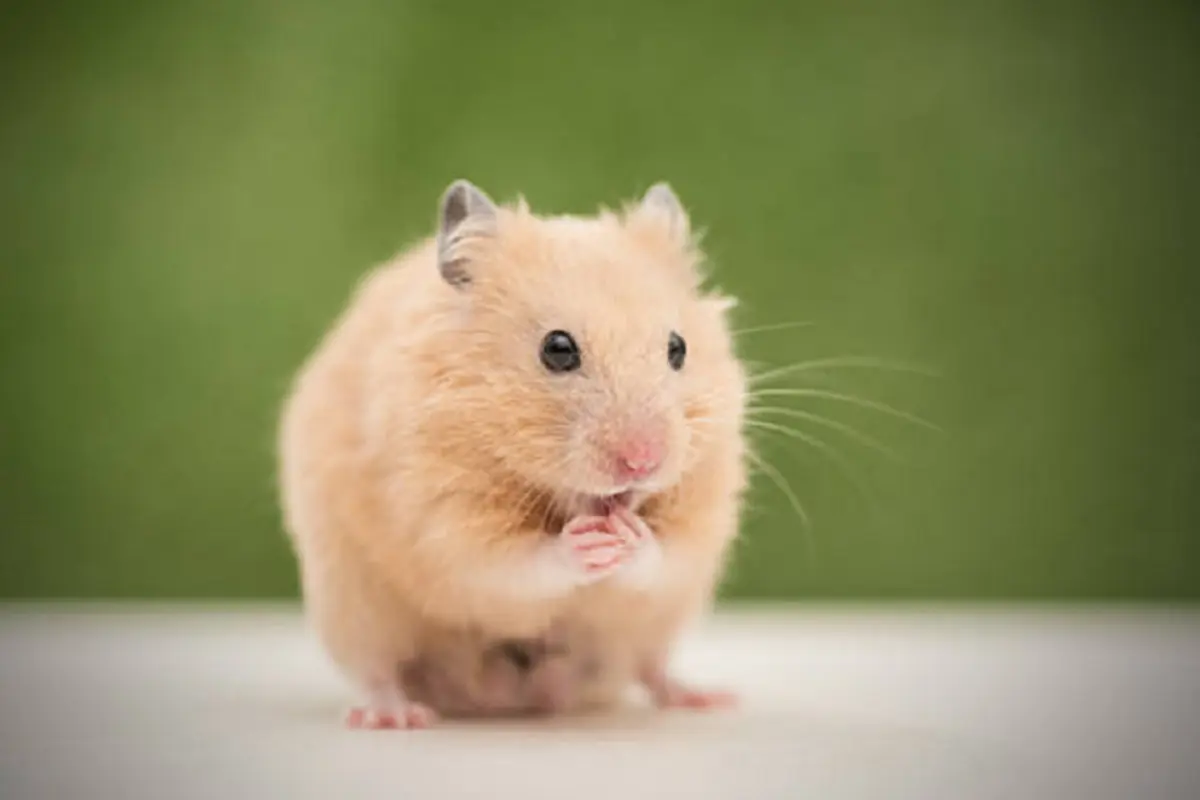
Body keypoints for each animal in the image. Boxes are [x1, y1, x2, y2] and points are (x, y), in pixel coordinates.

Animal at [277, 178, 748, 728]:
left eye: (678, 348)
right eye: (557, 349)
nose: (643, 461)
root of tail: (506, 695)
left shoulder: (704, 515)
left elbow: (667, 554)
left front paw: (629, 536)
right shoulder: (444, 519)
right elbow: (515, 564)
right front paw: (587, 541)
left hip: (657, 625)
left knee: (650, 667)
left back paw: (705, 697)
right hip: (352, 604)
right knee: (377, 669)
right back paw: (395, 716)